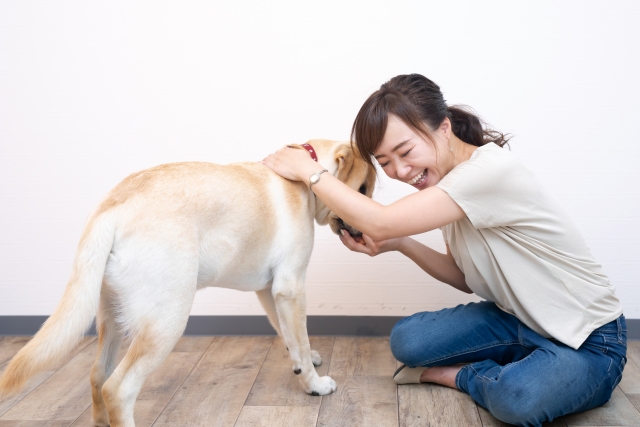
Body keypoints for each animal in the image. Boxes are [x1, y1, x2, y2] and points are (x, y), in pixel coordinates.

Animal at [0, 140, 378, 427]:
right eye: (362, 189)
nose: (370, 222)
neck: (303, 175)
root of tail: (113, 207)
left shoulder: (269, 291)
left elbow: (290, 334)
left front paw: (305, 359)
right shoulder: (290, 286)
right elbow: (298, 334)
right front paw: (314, 384)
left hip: (110, 314)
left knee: (97, 375)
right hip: (167, 320)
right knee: (117, 389)